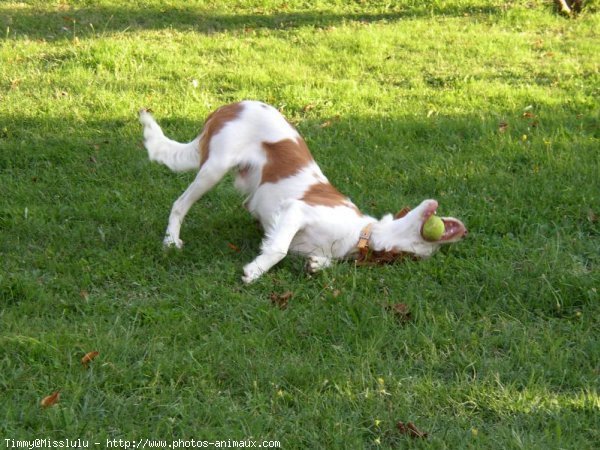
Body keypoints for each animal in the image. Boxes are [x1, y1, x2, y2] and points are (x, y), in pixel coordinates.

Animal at [138, 101, 466, 284]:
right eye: (428, 247)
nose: (462, 231)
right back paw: (171, 241)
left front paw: (316, 265)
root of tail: (231, 105)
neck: (359, 235)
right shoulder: (298, 210)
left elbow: (314, 261)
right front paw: (254, 272)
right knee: (179, 203)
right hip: (215, 166)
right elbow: (278, 249)